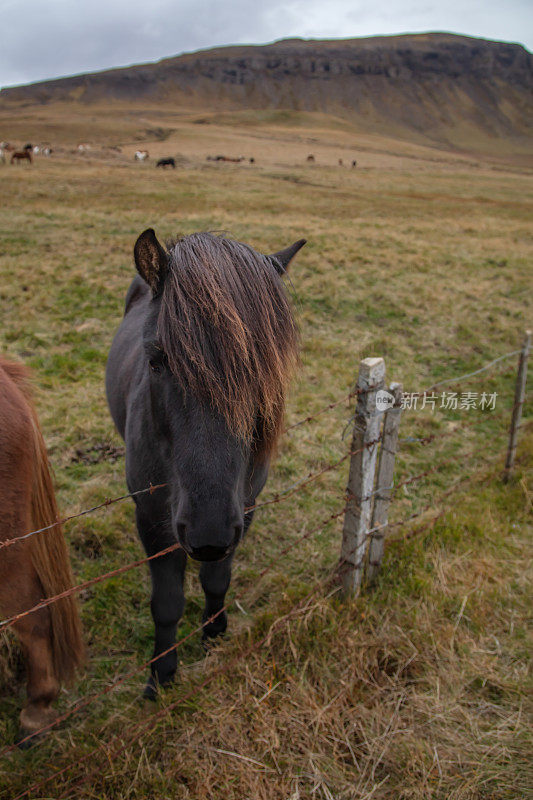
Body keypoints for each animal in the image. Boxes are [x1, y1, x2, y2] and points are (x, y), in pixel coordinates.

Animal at [105, 230, 304, 692]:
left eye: (264, 368)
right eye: (155, 360)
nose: (206, 534)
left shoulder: (243, 508)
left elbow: (217, 578)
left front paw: (214, 630)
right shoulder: (154, 518)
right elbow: (166, 602)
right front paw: (161, 673)